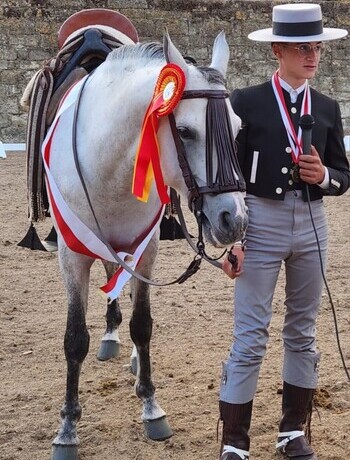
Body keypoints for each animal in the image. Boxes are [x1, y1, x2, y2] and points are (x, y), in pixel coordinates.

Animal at [41, 30, 247, 458]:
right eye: (184, 131)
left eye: (237, 130)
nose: (233, 219)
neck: (105, 165)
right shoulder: (72, 257)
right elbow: (74, 340)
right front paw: (67, 428)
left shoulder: (145, 251)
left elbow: (143, 325)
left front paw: (151, 407)